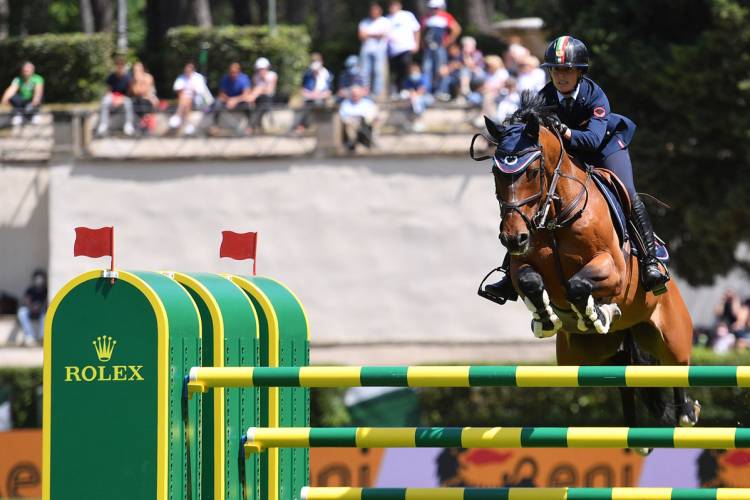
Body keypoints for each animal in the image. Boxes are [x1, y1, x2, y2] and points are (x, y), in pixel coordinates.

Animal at [478, 94, 704, 438]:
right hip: (583, 357)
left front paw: (597, 312)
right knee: (623, 373)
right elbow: (530, 281)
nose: (513, 238)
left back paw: (687, 413)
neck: (556, 216)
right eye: (494, 171)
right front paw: (547, 318)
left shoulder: (614, 270)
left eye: (532, 171)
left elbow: (578, 284)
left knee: (676, 368)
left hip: (671, 336)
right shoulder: (521, 267)